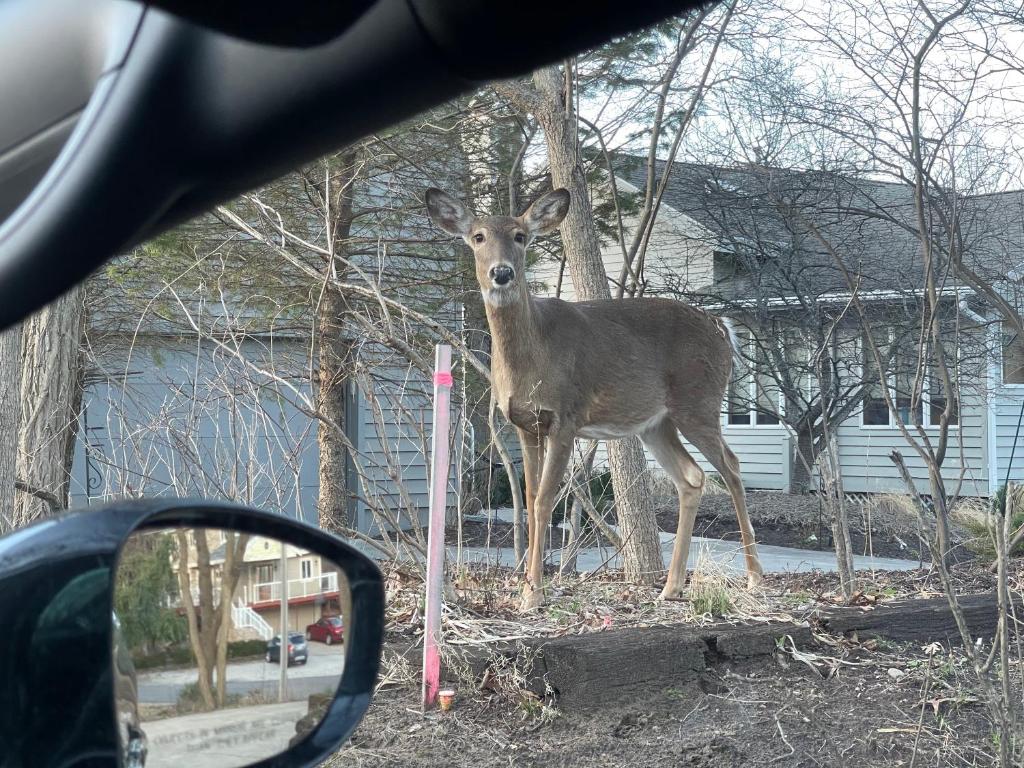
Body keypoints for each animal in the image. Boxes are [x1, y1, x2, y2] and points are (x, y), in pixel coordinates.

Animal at [423, 183, 761, 610]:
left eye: (520, 236)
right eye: (478, 236)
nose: (501, 273)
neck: (532, 357)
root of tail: (720, 326)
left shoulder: (566, 417)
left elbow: (544, 500)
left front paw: (533, 593)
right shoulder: (524, 423)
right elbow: (530, 498)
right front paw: (526, 587)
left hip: (698, 400)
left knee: (731, 467)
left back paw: (754, 577)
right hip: (656, 423)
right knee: (692, 476)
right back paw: (670, 587)